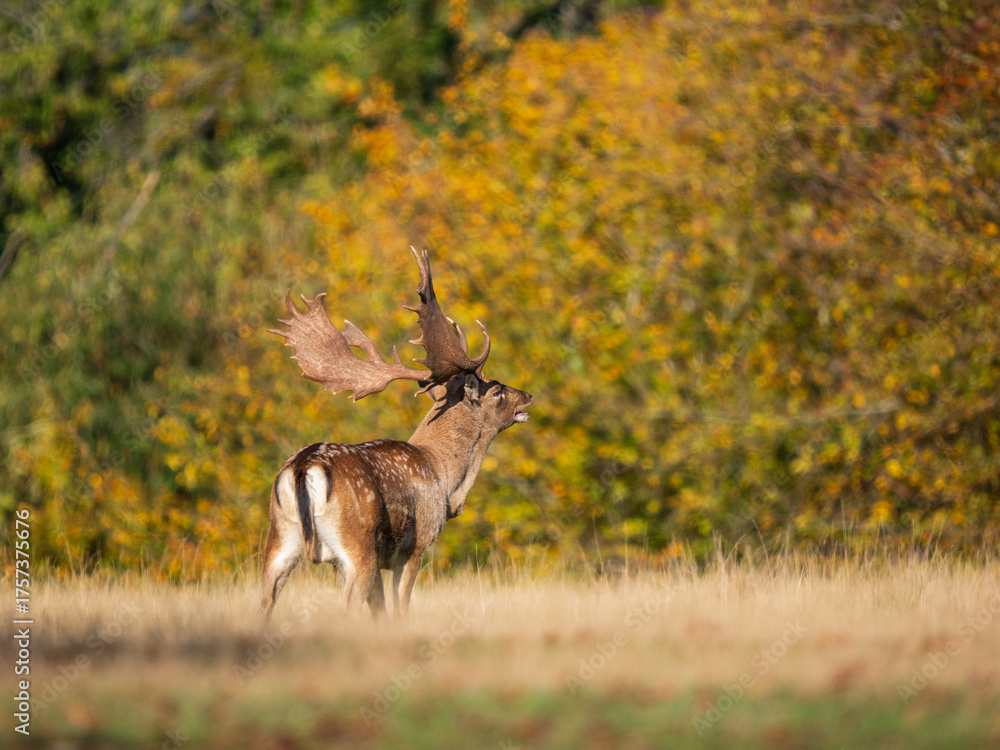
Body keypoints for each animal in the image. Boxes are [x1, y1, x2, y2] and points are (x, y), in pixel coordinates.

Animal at [260, 247, 532, 619]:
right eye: (499, 390)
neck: (443, 477)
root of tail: (303, 467)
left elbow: (380, 613)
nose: (529, 395)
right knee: (344, 608)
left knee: (264, 602)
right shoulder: (415, 546)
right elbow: (400, 608)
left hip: (280, 536)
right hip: (356, 543)